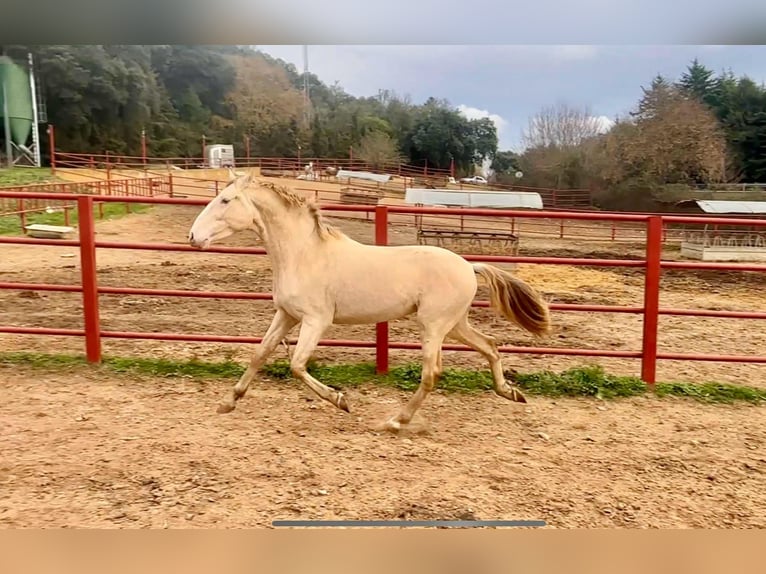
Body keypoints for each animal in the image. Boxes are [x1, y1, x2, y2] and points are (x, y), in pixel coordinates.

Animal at [190, 171, 556, 432]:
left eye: (225, 200)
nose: (192, 237)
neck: (304, 254)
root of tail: (469, 265)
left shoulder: (316, 320)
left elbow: (296, 365)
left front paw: (341, 400)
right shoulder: (286, 315)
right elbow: (259, 354)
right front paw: (227, 402)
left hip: (434, 326)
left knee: (432, 373)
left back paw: (395, 421)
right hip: (454, 325)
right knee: (491, 345)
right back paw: (511, 392)